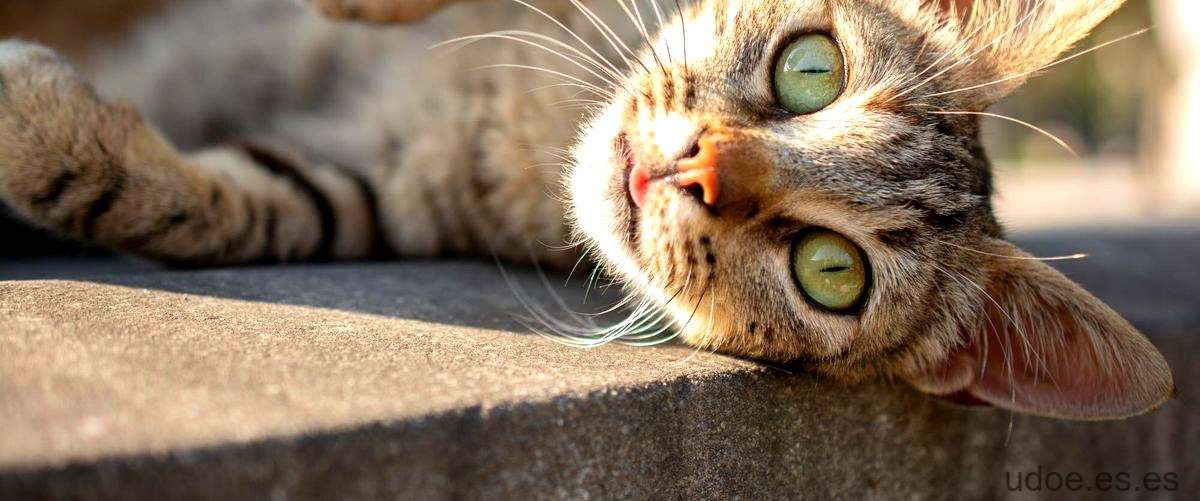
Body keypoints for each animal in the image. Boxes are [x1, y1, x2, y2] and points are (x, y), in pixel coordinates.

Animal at [0, 0, 1171, 421]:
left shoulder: (369, 185)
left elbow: (229, 205)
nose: (691, 170)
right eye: (812, 69)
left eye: (831, 272)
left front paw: (39, 131)